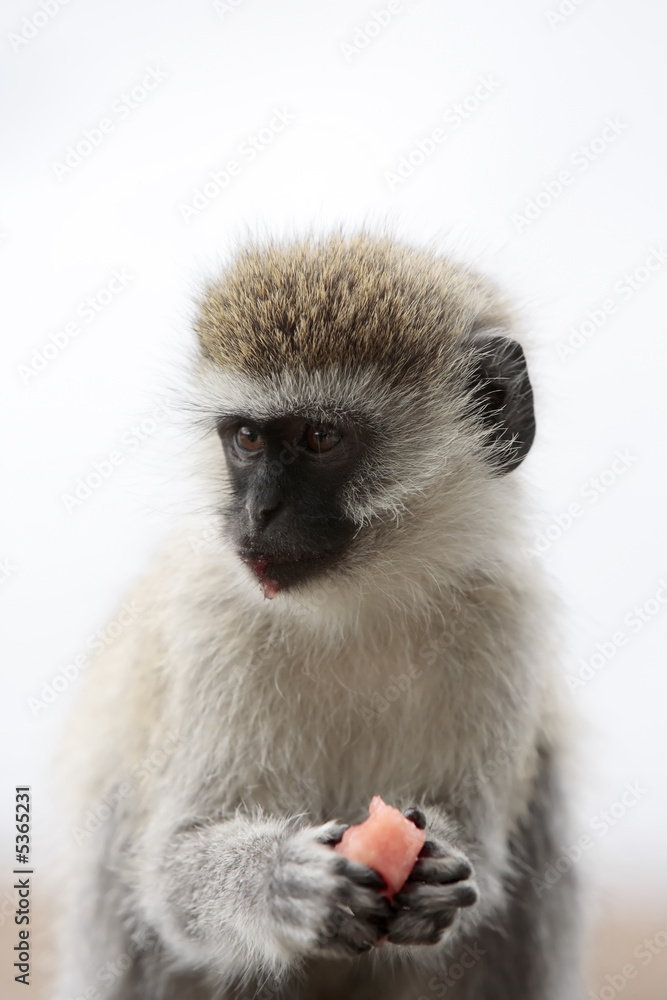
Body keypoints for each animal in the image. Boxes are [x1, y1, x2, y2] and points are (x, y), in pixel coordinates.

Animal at [55, 233, 582, 1000]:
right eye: (246, 438)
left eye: (321, 439)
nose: (258, 512)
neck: (356, 601)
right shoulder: (210, 613)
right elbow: (170, 871)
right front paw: (278, 883)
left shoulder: (505, 610)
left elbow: (482, 848)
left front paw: (438, 864)